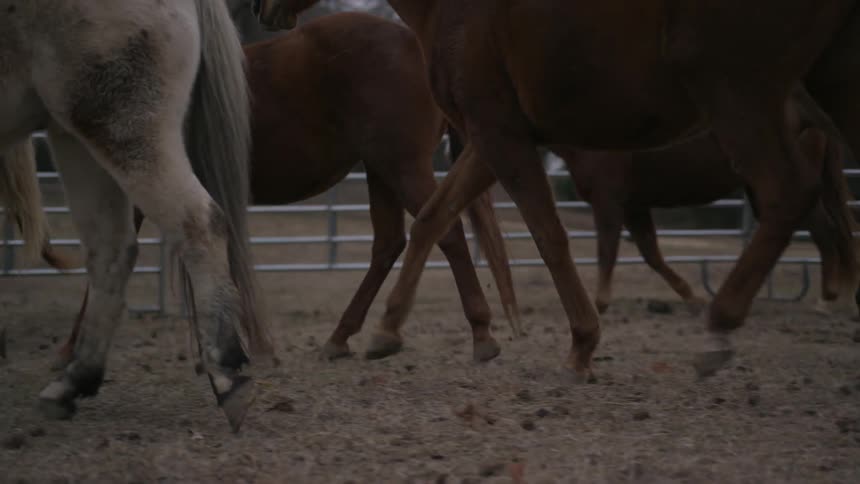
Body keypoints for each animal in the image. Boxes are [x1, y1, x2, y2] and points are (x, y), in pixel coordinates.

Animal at [0, 0, 272, 432]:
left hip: (124, 127)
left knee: (197, 222)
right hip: (76, 137)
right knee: (110, 252)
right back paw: (73, 382)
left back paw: (226, 374)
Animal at [56, 11, 520, 366]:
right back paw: (341, 337)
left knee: (443, 229)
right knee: (390, 243)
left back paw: (478, 335)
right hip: (381, 169)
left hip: (401, 166)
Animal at [553, 125, 853, 315]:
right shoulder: (634, 207)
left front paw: (599, 305)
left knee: (825, 232)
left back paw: (826, 300)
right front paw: (693, 299)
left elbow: (607, 252)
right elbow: (652, 255)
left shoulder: (609, 202)